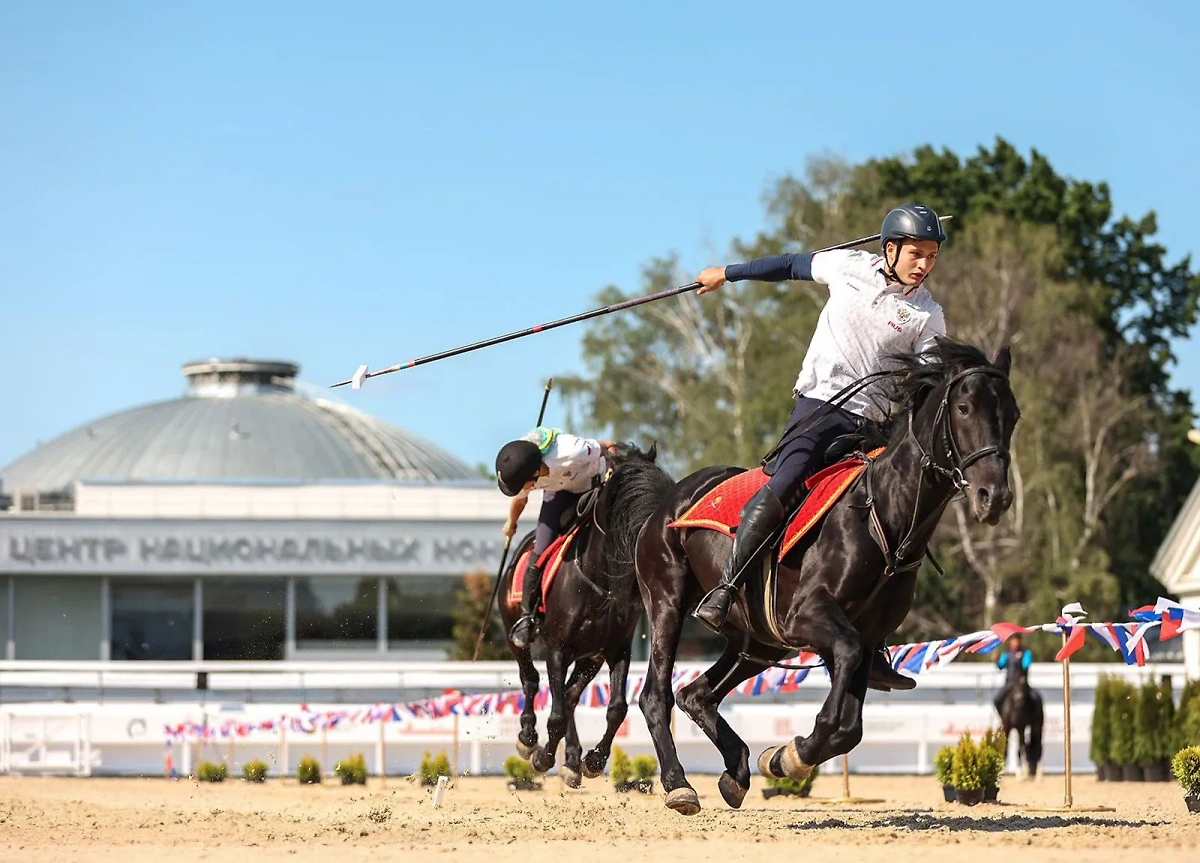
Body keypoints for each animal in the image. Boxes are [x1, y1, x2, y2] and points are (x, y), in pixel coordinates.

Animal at [492, 441, 672, 787]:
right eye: (621, 485)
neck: (598, 578)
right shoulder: (557, 649)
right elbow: (557, 715)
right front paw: (543, 756)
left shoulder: (616, 650)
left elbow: (616, 709)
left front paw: (593, 760)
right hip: (515, 633)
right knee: (531, 680)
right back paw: (528, 738)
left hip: (591, 657)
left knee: (571, 695)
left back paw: (572, 761)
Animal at [633, 338, 1017, 816]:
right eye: (964, 408)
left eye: (1014, 415)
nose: (994, 497)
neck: (881, 515)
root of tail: (668, 499)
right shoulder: (813, 619)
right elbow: (839, 710)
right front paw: (790, 756)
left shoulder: (861, 638)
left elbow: (849, 726)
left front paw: (783, 757)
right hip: (667, 603)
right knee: (657, 695)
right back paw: (678, 783)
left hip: (758, 642)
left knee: (697, 694)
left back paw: (737, 771)